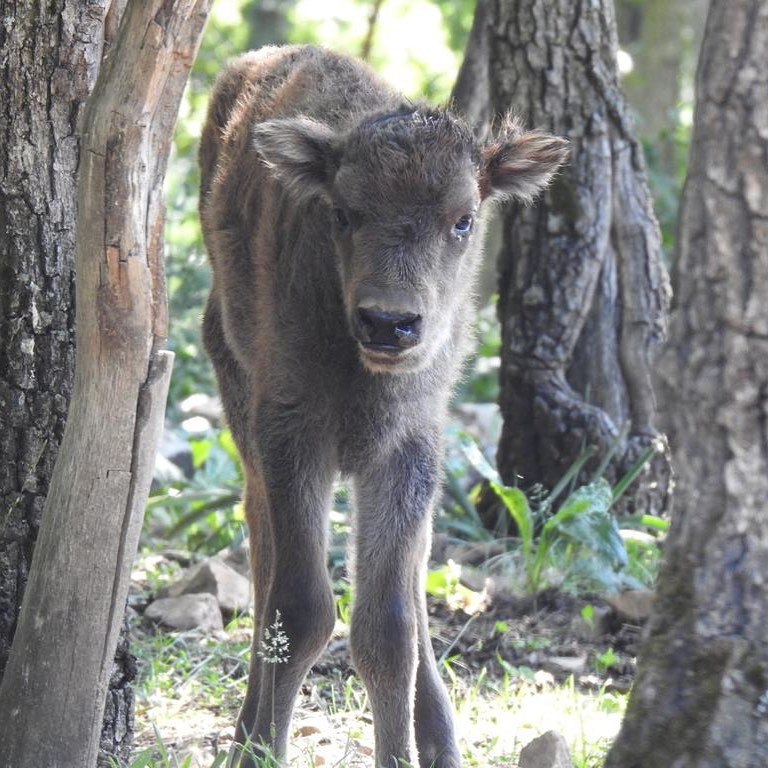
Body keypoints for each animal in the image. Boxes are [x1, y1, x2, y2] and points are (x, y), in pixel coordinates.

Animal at [201, 43, 568, 768]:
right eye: (345, 213)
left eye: (463, 219)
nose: (389, 324)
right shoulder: (293, 437)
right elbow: (300, 609)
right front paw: (261, 748)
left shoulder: (405, 453)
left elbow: (389, 629)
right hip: (237, 395)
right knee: (261, 545)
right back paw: (250, 727)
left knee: (411, 582)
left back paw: (440, 738)